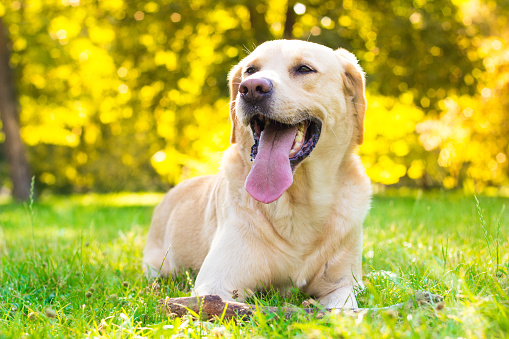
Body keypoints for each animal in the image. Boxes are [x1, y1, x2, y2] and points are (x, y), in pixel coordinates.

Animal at [143, 39, 370, 310]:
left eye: (304, 69)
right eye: (250, 70)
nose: (251, 88)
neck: (297, 201)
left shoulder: (343, 283)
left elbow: (342, 306)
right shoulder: (215, 282)